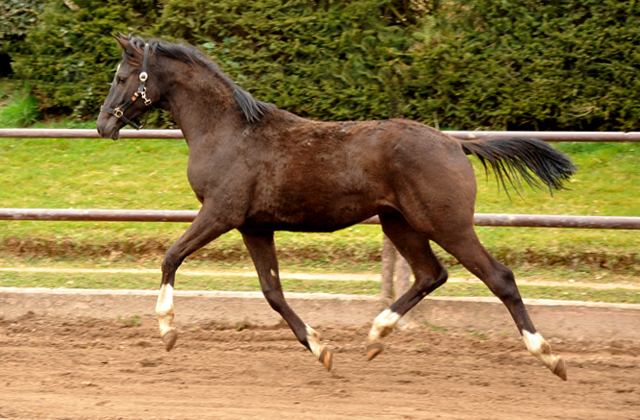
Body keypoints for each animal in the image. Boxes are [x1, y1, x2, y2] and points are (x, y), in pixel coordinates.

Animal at [99, 35, 576, 380]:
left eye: (122, 77)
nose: (104, 124)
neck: (227, 131)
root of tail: (455, 144)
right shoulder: (255, 226)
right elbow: (272, 292)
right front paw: (321, 349)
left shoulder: (221, 214)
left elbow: (171, 256)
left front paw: (167, 330)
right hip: (399, 223)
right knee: (431, 274)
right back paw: (375, 337)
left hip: (446, 224)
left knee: (499, 277)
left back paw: (550, 358)